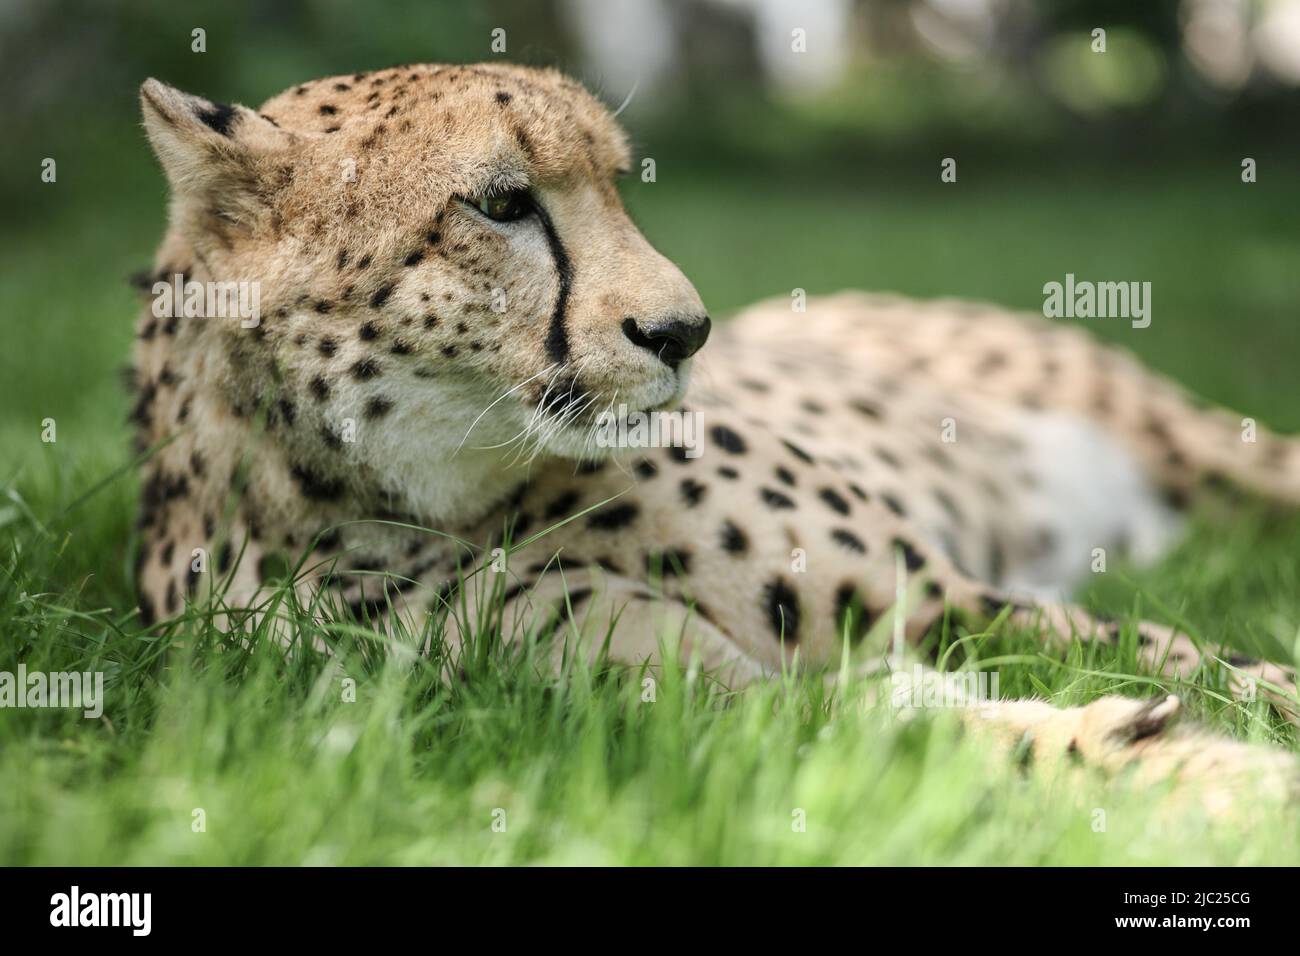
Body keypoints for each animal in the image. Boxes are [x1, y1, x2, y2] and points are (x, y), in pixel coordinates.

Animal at [129, 63, 1300, 814]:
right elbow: (923, 728)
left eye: (616, 184)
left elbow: (1215, 659)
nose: (685, 331)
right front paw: (1189, 771)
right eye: (503, 203)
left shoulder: (946, 596)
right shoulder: (700, 710)